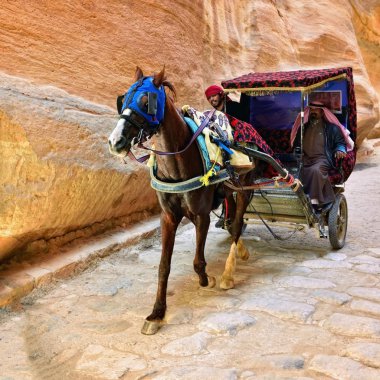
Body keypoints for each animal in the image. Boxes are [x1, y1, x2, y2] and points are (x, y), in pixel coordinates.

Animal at [107, 67, 255, 334]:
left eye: (146, 101)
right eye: (122, 99)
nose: (115, 142)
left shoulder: (201, 214)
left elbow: (198, 261)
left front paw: (207, 280)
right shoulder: (168, 216)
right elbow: (163, 266)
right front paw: (157, 313)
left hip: (244, 187)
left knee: (238, 223)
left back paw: (229, 271)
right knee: (232, 220)